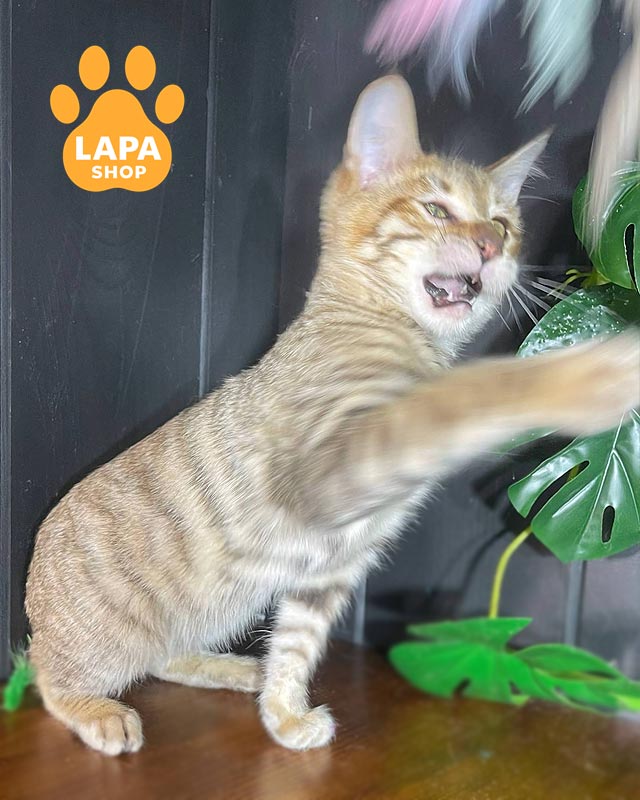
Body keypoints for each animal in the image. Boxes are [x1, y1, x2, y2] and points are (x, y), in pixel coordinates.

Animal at [25, 75, 640, 756]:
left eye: (503, 226)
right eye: (437, 210)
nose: (488, 245)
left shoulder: (329, 569)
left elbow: (296, 645)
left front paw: (282, 714)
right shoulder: (331, 468)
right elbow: (466, 393)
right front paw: (587, 374)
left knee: (165, 657)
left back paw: (231, 668)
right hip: (112, 640)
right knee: (50, 676)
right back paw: (95, 709)